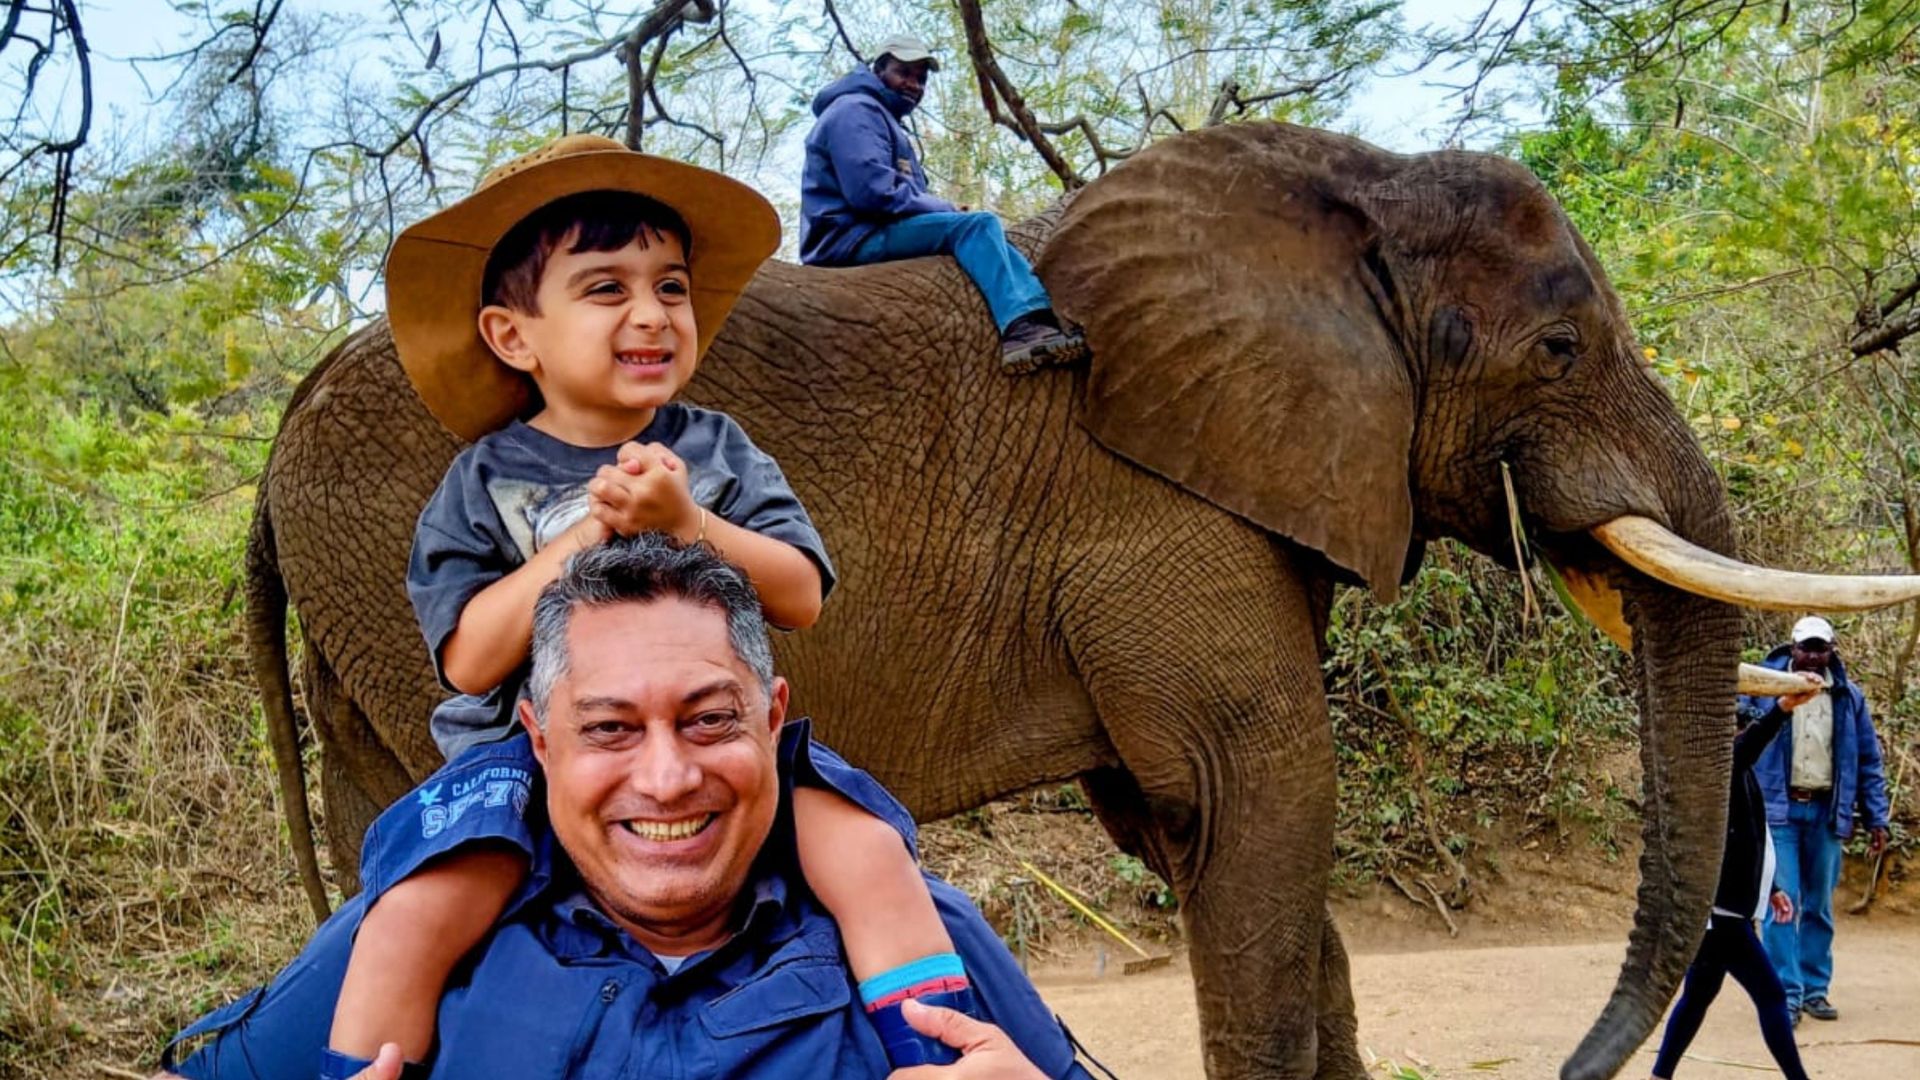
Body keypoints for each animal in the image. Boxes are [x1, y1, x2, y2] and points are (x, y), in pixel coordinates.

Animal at [243, 122, 1920, 1076]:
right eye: (1561, 349)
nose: (1572, 1067)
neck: (1344, 204)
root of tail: (279, 428)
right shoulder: (1160, 519)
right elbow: (1254, 797)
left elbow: (1224, 845)